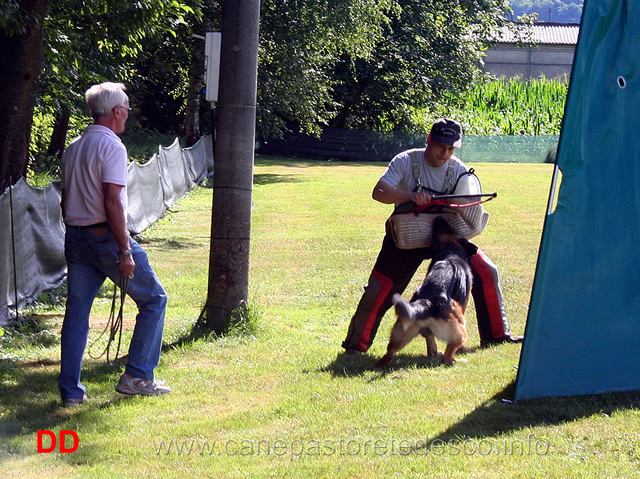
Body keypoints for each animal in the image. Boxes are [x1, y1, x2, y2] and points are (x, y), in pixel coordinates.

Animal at [376, 218, 476, 368]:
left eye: (443, 227)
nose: (439, 217)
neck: (449, 251)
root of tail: (427, 303)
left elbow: (430, 338)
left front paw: (432, 352)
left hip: (400, 334)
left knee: (389, 353)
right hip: (461, 331)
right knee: (447, 356)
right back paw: (457, 360)